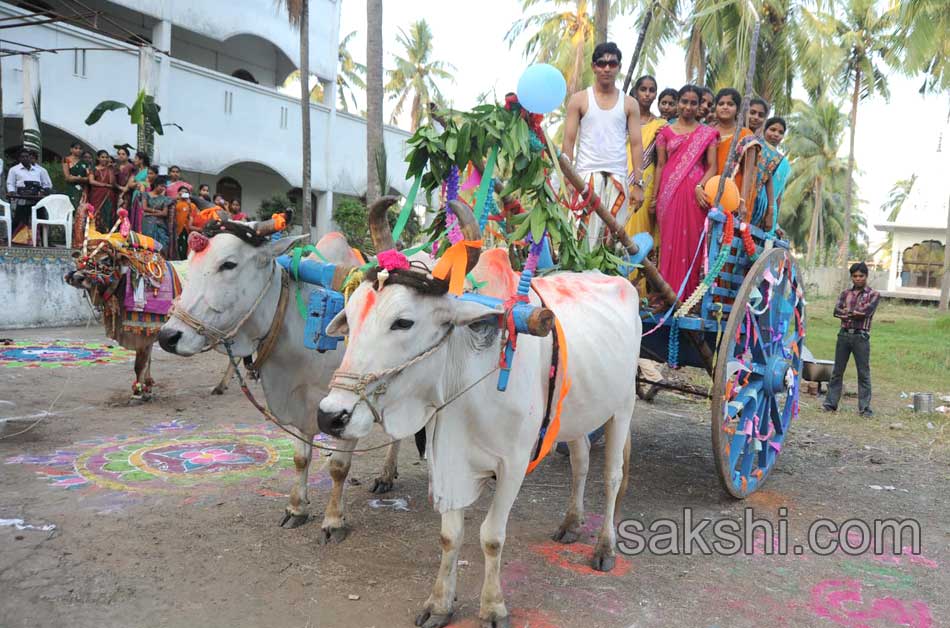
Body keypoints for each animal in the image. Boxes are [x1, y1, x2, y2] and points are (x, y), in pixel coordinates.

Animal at [155, 217, 406, 540]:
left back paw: (386, 475)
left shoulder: (351, 403)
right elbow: (301, 458)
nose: (168, 336)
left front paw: (333, 520)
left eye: (229, 264)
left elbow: (338, 467)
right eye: (189, 262)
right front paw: (296, 508)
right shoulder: (300, 405)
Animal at [318, 201, 640, 628]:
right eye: (351, 319)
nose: (330, 416)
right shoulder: (446, 459)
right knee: (581, 463)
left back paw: (605, 547)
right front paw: (440, 603)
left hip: (622, 408)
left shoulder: (514, 464)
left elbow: (491, 536)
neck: (468, 382)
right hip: (575, 416)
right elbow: (450, 535)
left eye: (403, 321)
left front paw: (493, 607)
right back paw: (571, 523)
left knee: (613, 476)